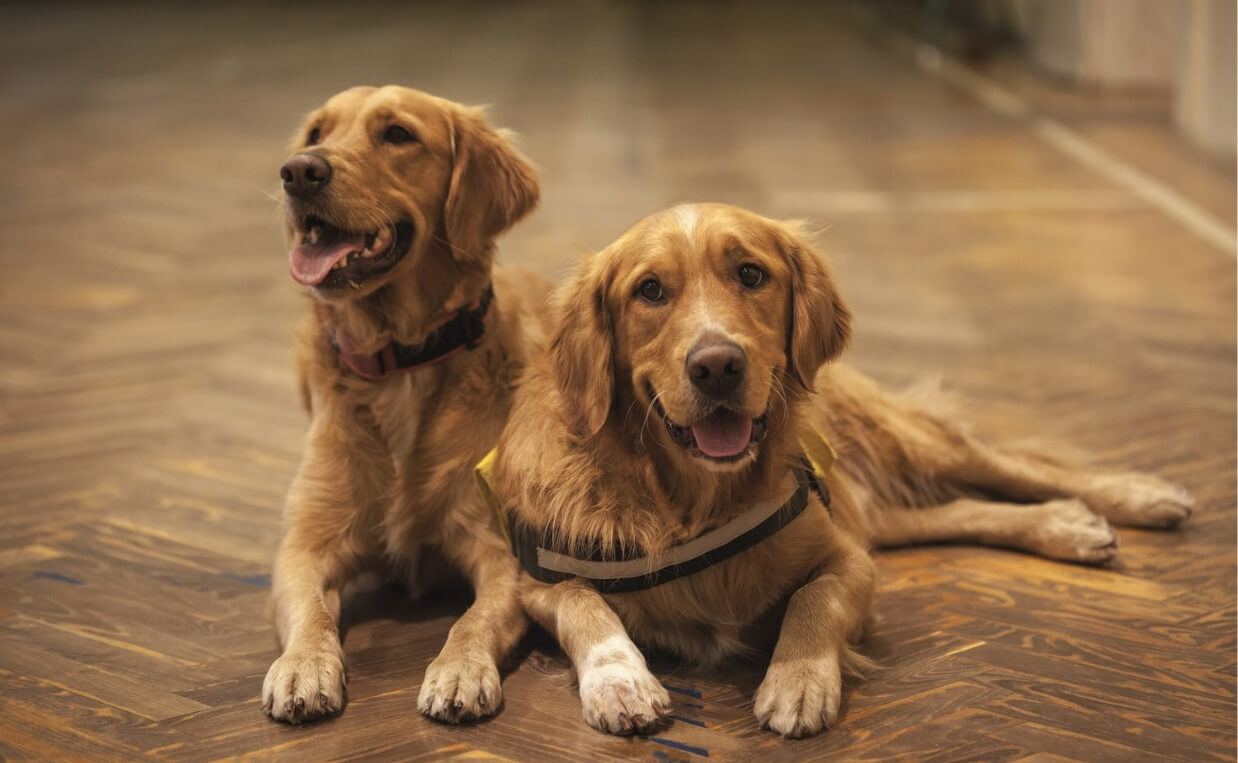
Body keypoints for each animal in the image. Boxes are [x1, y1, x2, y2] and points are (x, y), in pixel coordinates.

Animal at [263, 86, 549, 723]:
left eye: (397, 134)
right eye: (316, 133)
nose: (299, 172)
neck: (399, 362)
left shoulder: (500, 552)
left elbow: (473, 619)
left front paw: (460, 670)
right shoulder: (303, 546)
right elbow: (311, 613)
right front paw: (302, 667)